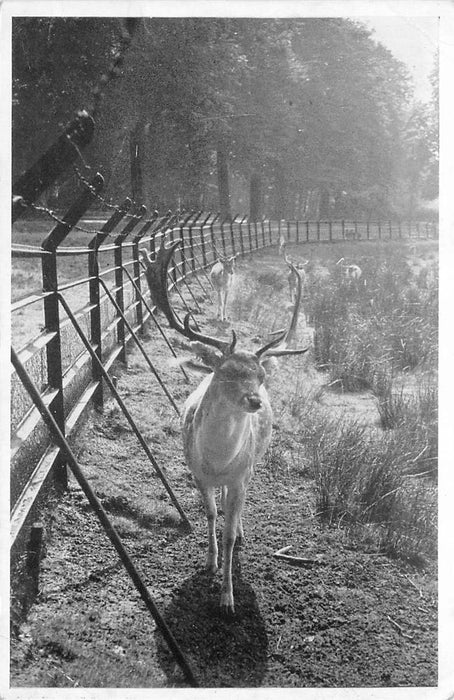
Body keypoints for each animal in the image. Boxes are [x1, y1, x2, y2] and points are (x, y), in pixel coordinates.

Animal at [142, 241, 308, 612]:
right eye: (226, 372)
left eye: (260, 376)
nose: (255, 401)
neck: (218, 460)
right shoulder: (197, 473)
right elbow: (210, 514)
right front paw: (210, 562)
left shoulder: (241, 474)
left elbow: (230, 532)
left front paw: (227, 598)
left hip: (252, 467)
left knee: (239, 502)